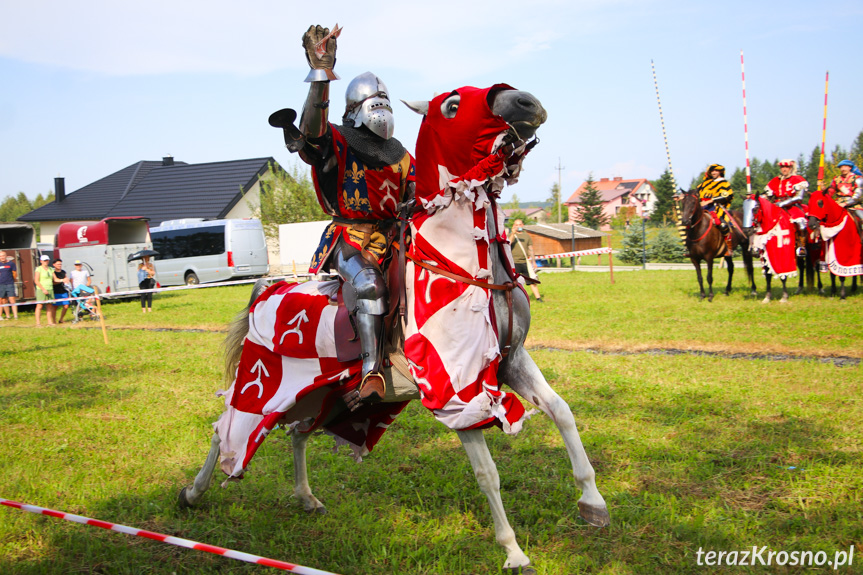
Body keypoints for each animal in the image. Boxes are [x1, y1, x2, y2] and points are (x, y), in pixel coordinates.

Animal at [180, 85, 612, 575]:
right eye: (453, 105)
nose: (526, 103)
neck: (465, 266)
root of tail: (266, 287)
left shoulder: (511, 361)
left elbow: (563, 412)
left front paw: (593, 502)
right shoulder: (458, 393)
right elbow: (488, 474)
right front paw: (513, 550)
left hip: (322, 393)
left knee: (297, 433)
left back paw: (306, 497)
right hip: (262, 387)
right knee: (224, 430)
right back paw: (192, 493)